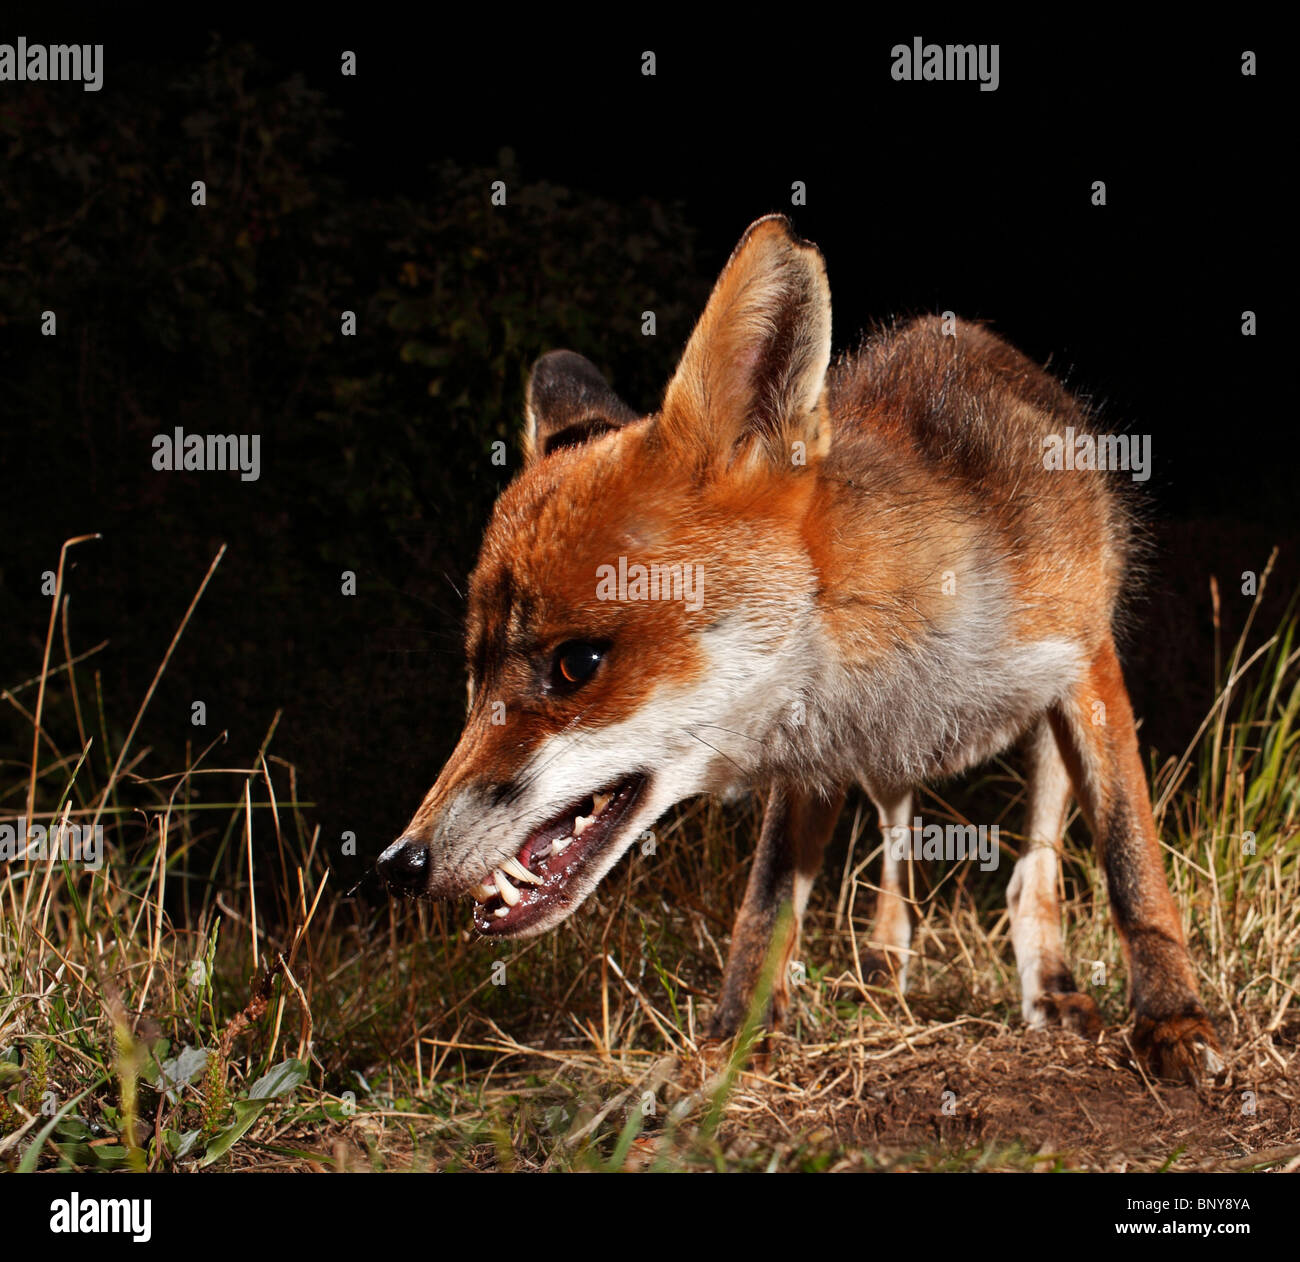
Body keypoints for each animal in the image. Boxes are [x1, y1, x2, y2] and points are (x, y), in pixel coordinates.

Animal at [378, 215, 1223, 1082]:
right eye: (474, 675)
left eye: (576, 664)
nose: (398, 866)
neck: (903, 641)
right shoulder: (809, 752)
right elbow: (766, 907)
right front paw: (732, 1041)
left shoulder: (1085, 666)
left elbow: (1131, 866)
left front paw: (1172, 1018)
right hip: (885, 768)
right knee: (898, 844)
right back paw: (885, 964)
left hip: (1048, 724)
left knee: (1036, 868)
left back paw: (1049, 986)